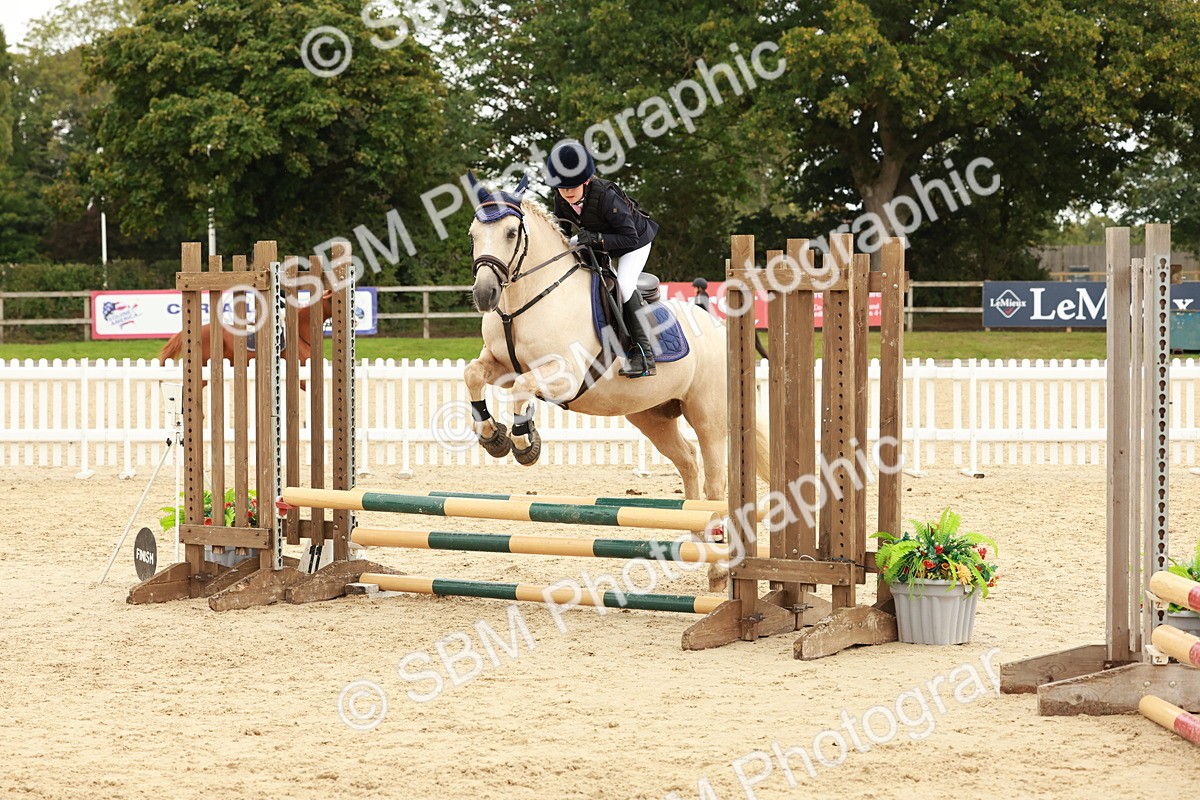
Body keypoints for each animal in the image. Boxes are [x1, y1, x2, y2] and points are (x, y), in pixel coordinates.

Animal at [463, 175, 769, 588]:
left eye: (511, 233)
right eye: (473, 233)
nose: (484, 294)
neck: (527, 300)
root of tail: (719, 327)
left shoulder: (563, 375)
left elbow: (522, 389)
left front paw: (525, 443)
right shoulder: (497, 363)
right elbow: (473, 375)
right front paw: (491, 436)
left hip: (709, 416)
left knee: (715, 481)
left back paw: (719, 567)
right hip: (651, 415)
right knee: (688, 462)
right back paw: (697, 538)